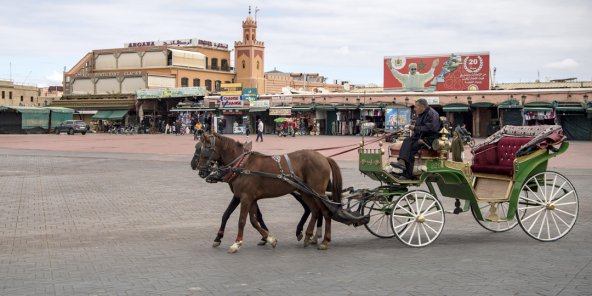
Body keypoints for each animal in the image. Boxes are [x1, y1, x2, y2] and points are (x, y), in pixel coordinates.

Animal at [197, 133, 340, 253]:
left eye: (206, 149)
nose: (201, 171)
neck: (243, 165)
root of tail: (324, 157)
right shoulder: (251, 198)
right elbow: (254, 221)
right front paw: (270, 238)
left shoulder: (245, 197)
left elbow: (242, 220)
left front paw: (237, 243)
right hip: (306, 193)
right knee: (315, 211)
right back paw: (308, 236)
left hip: (318, 192)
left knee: (326, 212)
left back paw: (324, 241)